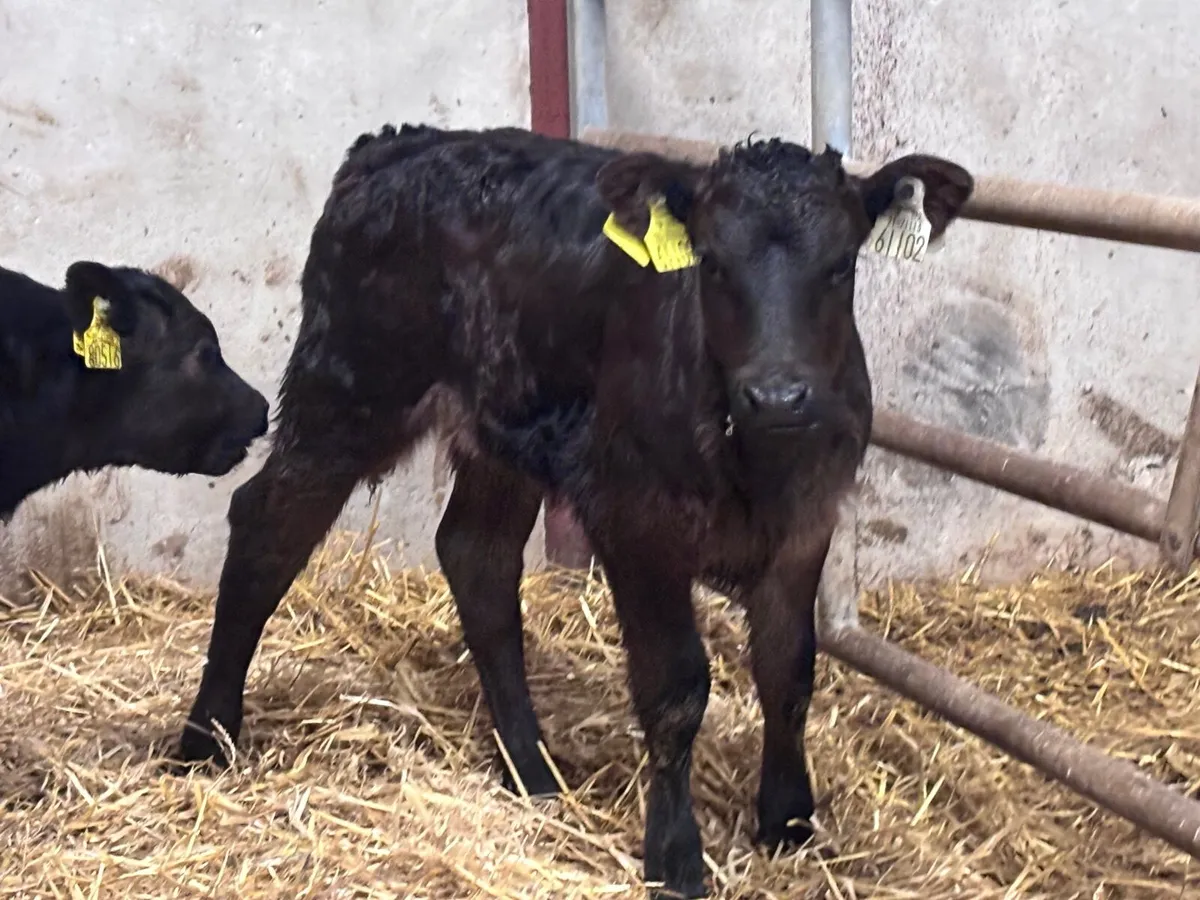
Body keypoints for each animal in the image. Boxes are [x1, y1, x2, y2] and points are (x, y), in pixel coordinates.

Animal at [175, 123, 973, 899]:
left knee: (476, 556)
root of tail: (397, 143)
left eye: (841, 265)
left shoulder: (808, 521)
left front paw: (789, 823)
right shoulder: (634, 515)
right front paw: (675, 857)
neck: (754, 459)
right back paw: (205, 738)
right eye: (713, 265)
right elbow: (677, 687)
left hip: (498, 426)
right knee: (266, 527)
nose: (778, 395)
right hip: (350, 387)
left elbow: (789, 670)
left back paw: (530, 768)